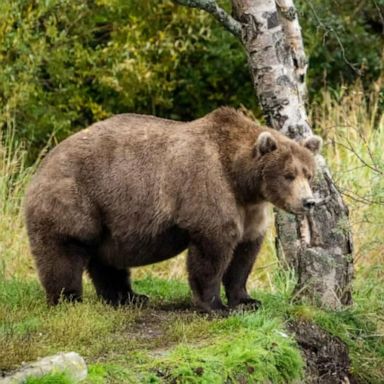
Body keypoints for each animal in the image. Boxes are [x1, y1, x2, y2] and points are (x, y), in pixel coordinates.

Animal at [24, 107, 320, 312]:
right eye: (288, 175)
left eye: (309, 173)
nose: (308, 202)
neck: (241, 180)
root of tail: (41, 166)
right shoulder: (208, 187)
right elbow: (213, 249)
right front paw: (215, 305)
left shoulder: (251, 209)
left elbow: (244, 254)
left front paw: (247, 300)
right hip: (74, 199)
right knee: (64, 252)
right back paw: (69, 299)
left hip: (109, 217)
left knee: (106, 259)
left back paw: (130, 297)